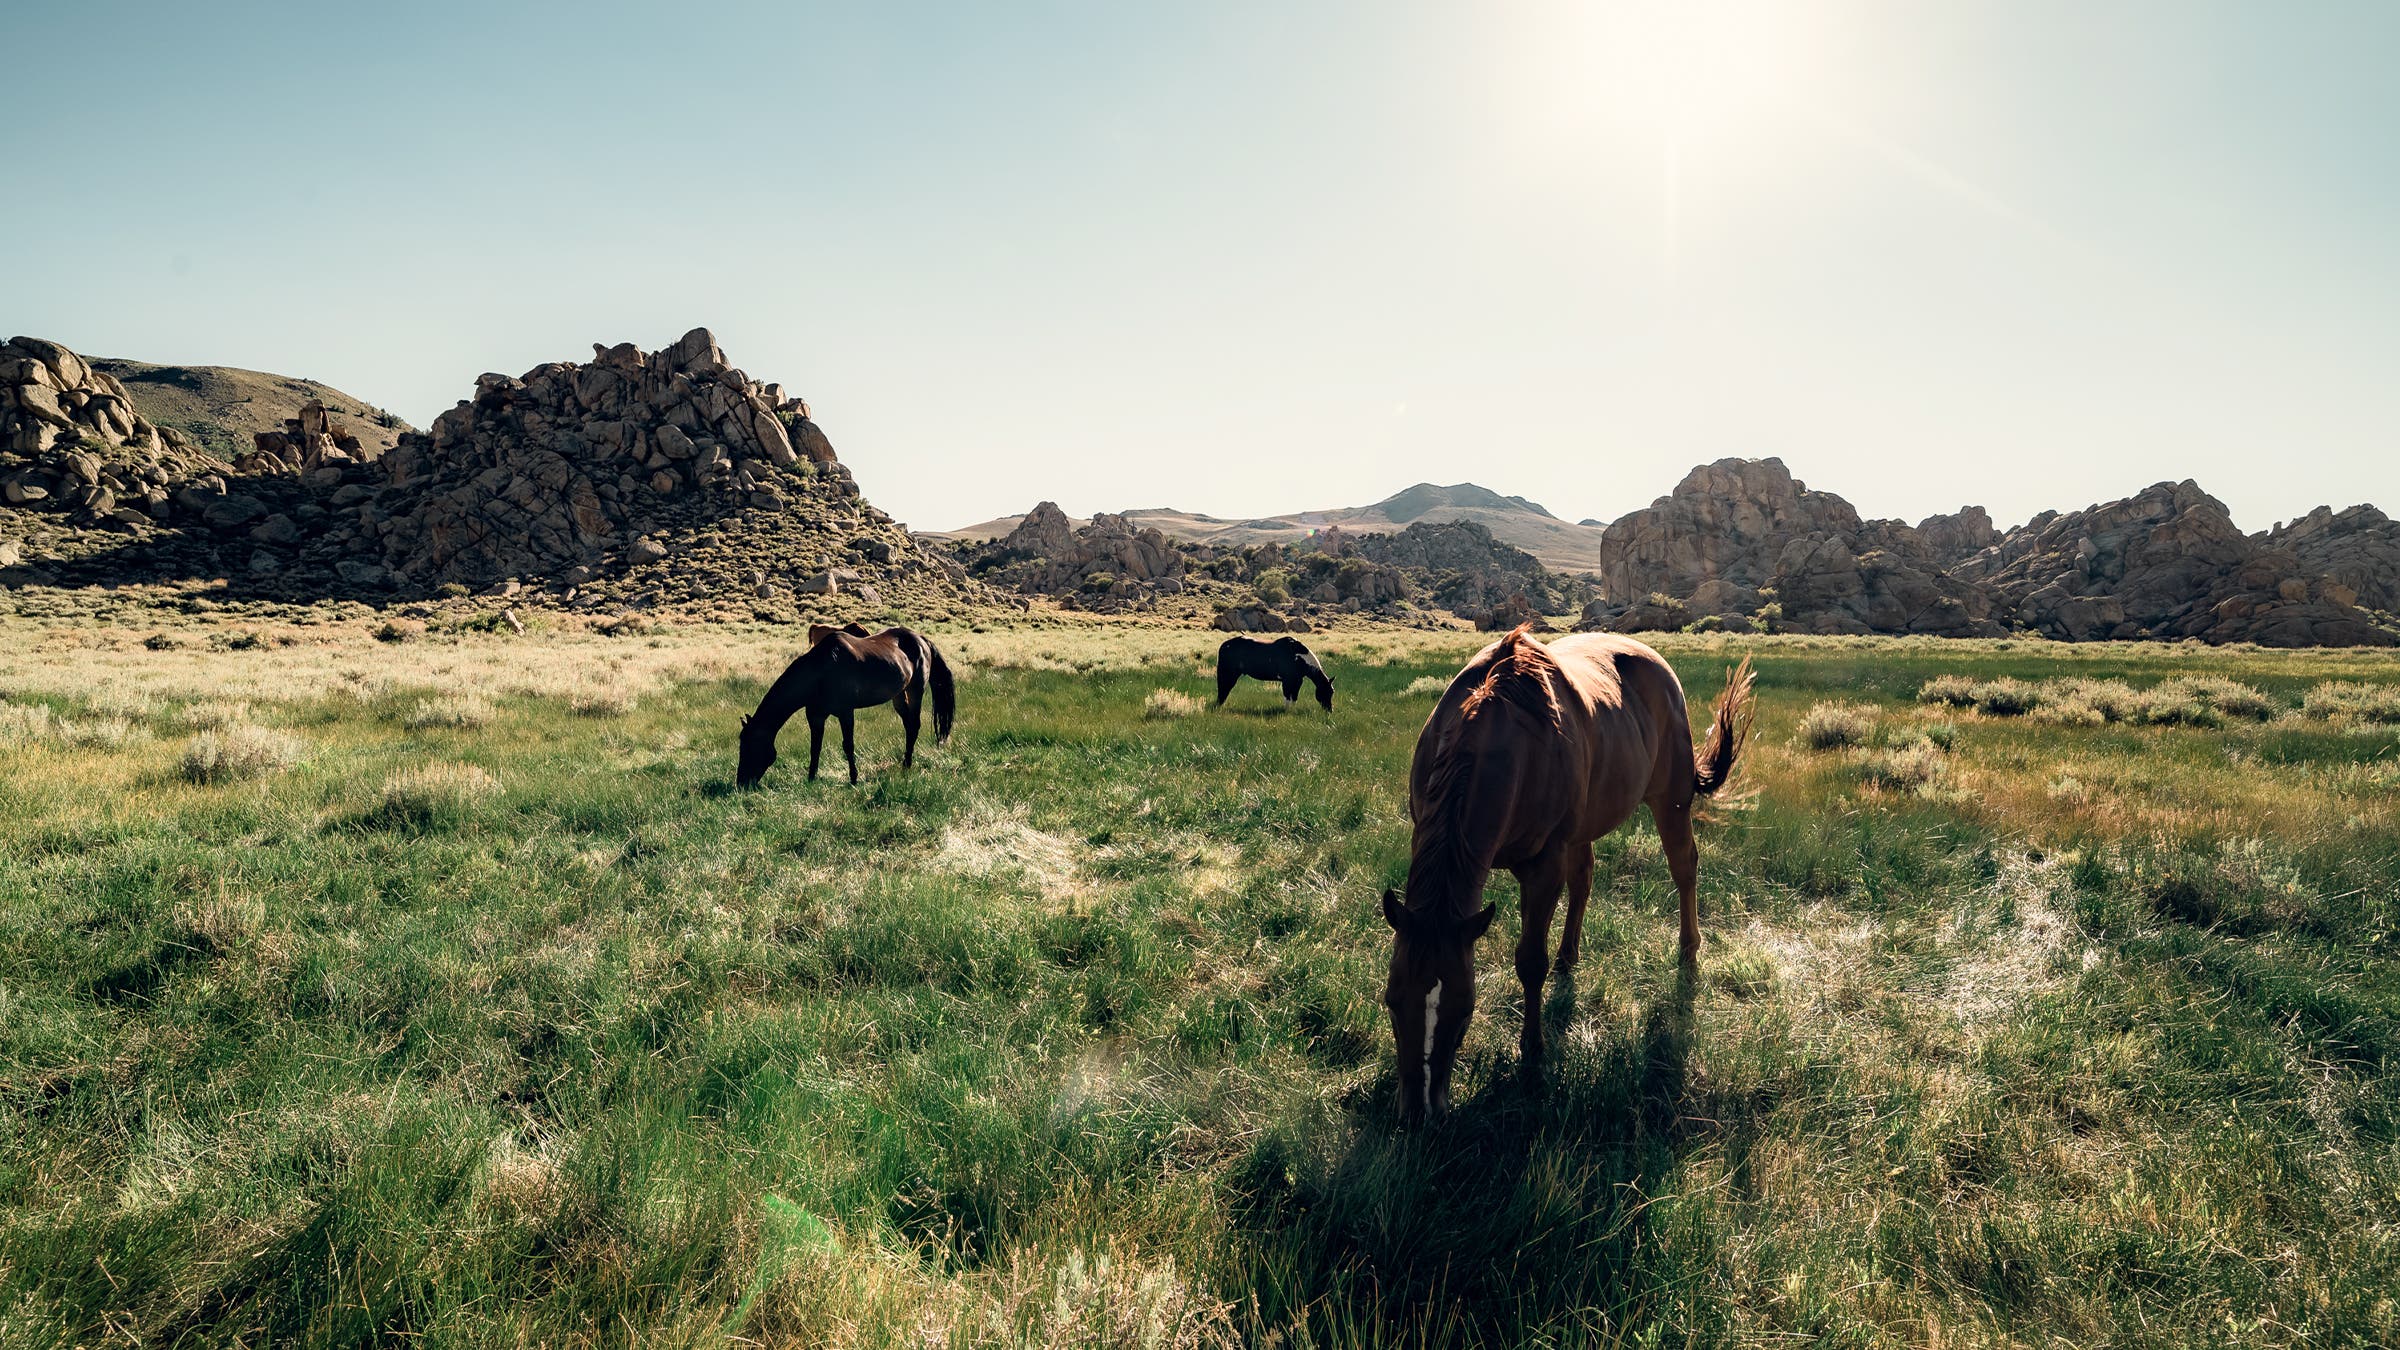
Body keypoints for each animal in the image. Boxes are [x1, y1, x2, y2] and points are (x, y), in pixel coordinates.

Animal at [736, 623, 956, 786]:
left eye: (750, 745)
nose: (741, 783)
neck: (821, 672)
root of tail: (921, 639)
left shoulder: (846, 712)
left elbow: (848, 745)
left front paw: (853, 779)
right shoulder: (815, 716)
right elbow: (815, 747)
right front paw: (811, 778)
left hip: (916, 690)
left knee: (915, 725)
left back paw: (907, 765)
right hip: (899, 696)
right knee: (909, 726)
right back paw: (905, 762)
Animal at [1381, 627, 1753, 1124]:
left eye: (1465, 1012)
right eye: (1391, 1002)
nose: (1420, 1113)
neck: (1501, 739)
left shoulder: (1543, 867)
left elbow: (1529, 962)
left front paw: (1532, 1052)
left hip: (1670, 801)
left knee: (1683, 868)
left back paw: (1689, 952)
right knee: (1585, 881)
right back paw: (1569, 955)